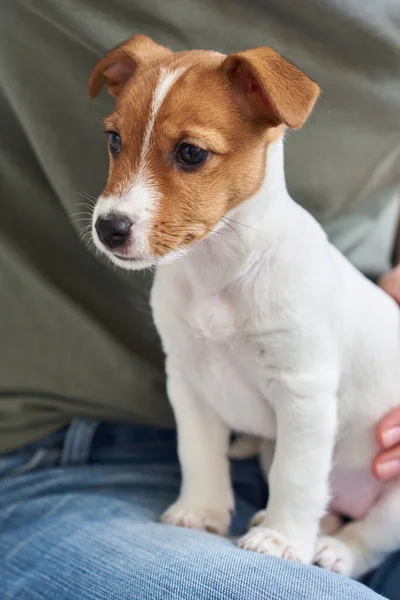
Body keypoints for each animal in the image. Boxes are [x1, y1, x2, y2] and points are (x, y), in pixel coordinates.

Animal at [88, 35, 400, 580]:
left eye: (191, 153)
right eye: (114, 140)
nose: (109, 227)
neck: (220, 269)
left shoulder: (304, 392)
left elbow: (297, 476)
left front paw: (281, 539)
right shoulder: (189, 380)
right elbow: (198, 453)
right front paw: (200, 512)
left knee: (371, 534)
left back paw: (334, 549)